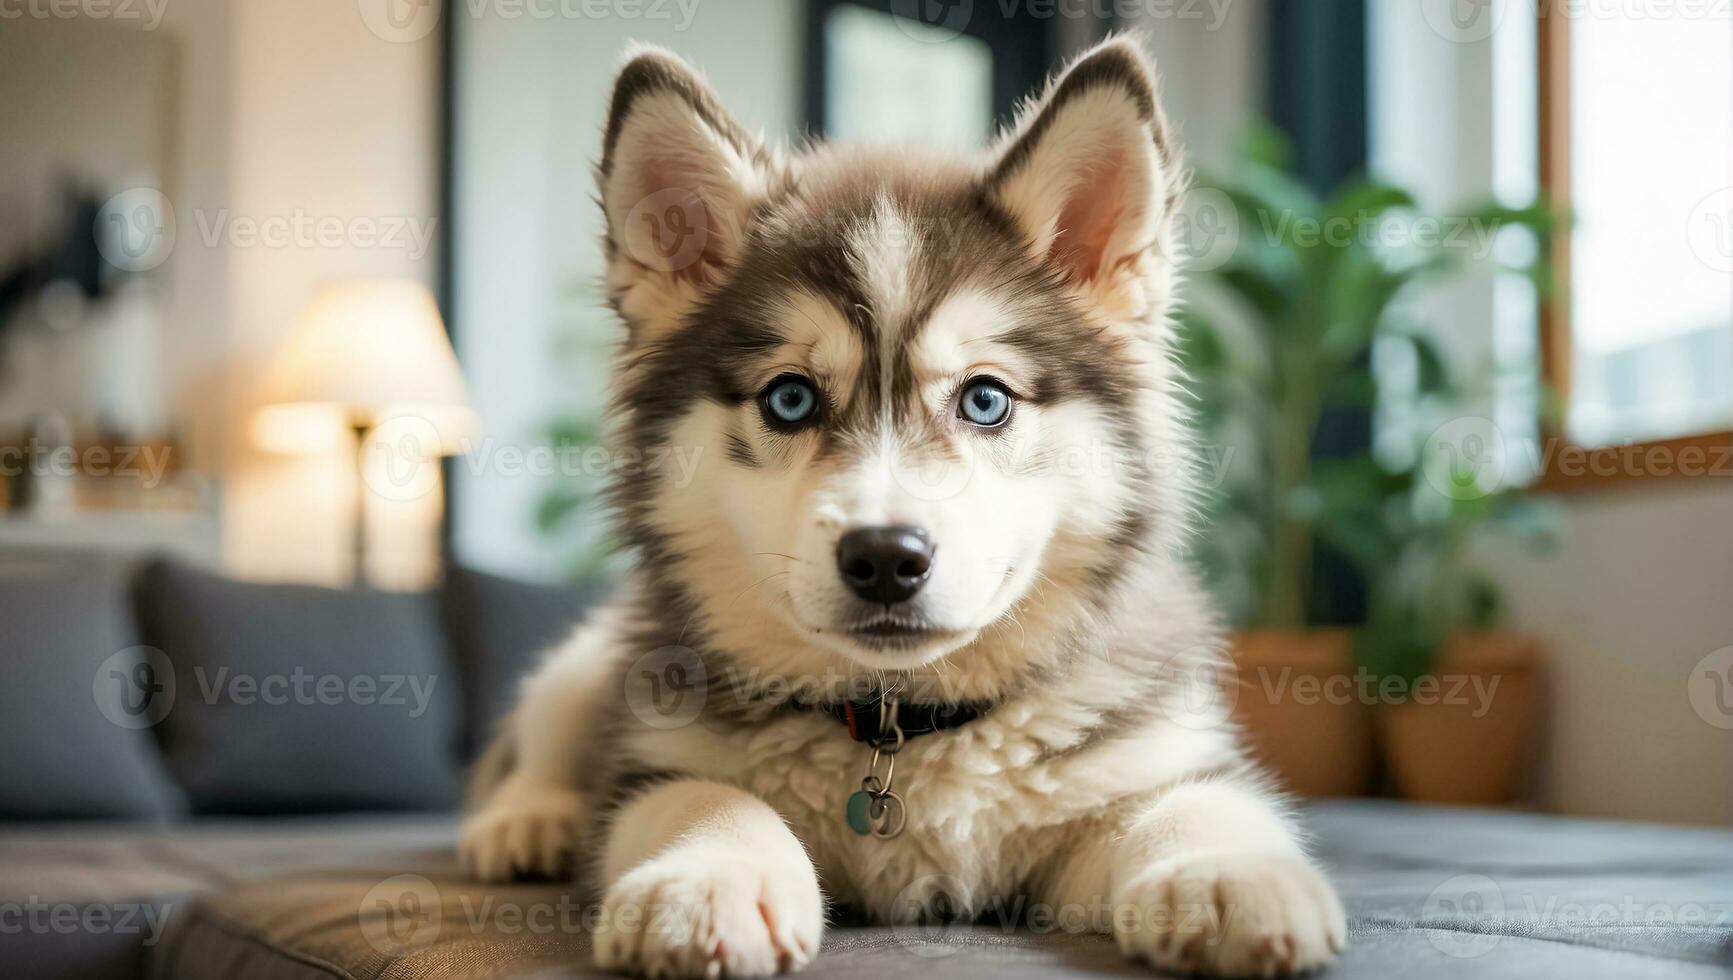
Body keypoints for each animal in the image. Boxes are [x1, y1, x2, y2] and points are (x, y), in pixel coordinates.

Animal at [464, 34, 1351, 971]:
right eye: (788, 399)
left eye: (985, 400)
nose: (886, 557)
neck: (900, 728)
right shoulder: (654, 755)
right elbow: (702, 795)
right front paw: (707, 877)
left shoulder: (1132, 763)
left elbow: (1189, 802)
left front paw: (1227, 872)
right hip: (592, 658)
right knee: (544, 730)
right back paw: (527, 820)